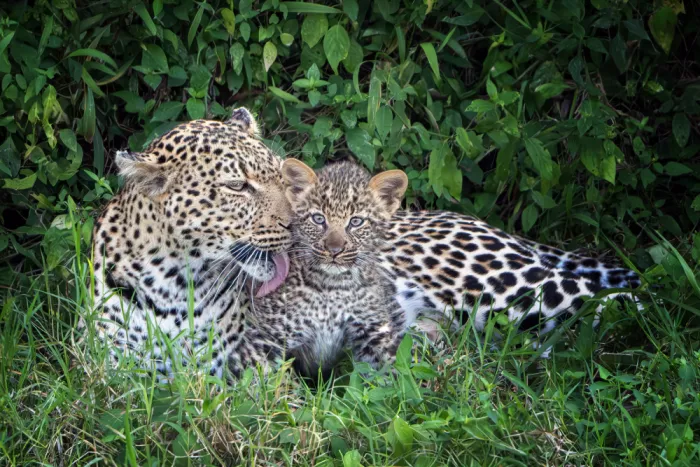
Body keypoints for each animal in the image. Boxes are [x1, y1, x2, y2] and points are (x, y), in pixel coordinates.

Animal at [251, 159, 413, 380]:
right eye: (319, 219)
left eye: (356, 222)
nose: (334, 250)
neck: (332, 287)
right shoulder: (267, 335)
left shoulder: (374, 331)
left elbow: (391, 372)